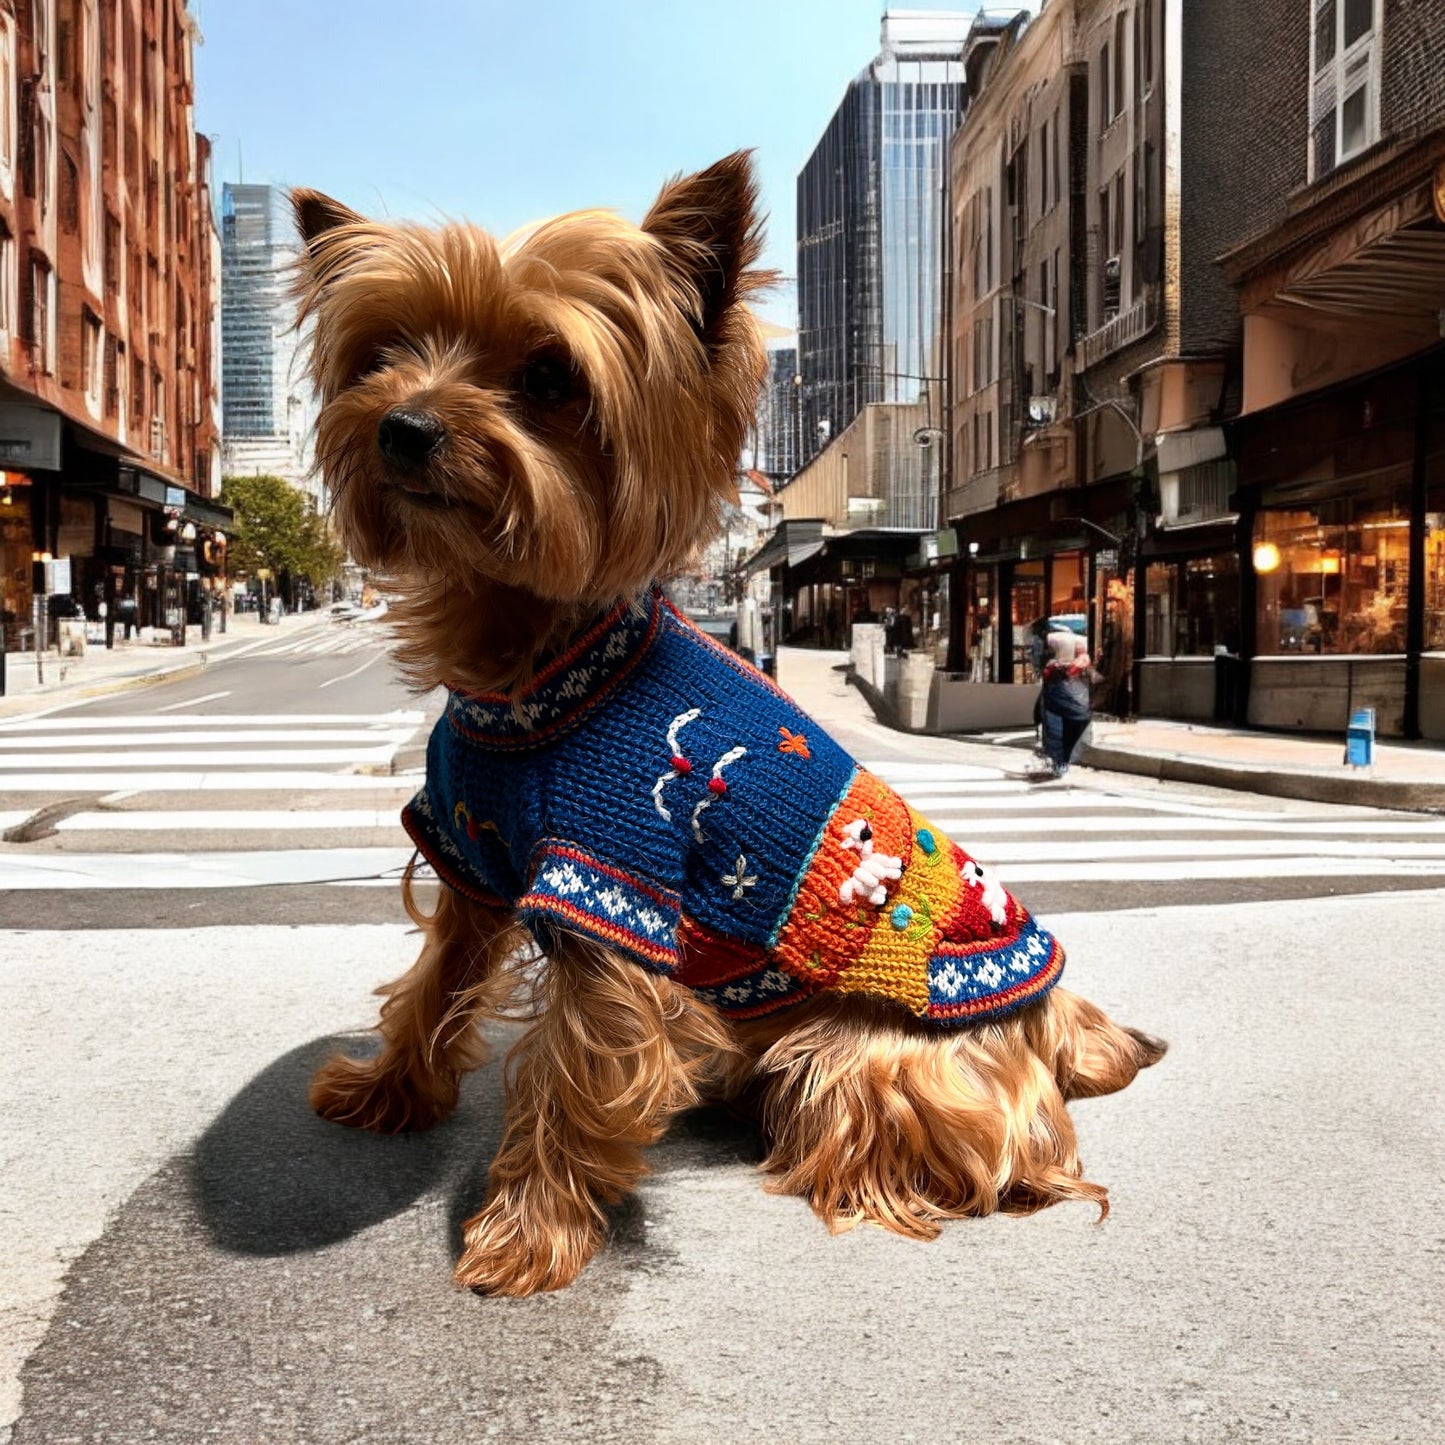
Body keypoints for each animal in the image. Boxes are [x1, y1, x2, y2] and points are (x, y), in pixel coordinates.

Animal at [290, 152, 1161, 1294]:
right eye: (383, 354)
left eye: (549, 376)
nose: (403, 426)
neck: (535, 667)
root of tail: (1053, 1016)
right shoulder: (473, 853)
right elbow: (437, 980)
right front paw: (389, 1091)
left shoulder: (615, 891)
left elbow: (570, 1071)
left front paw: (524, 1230)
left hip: (855, 1051)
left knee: (967, 1154)